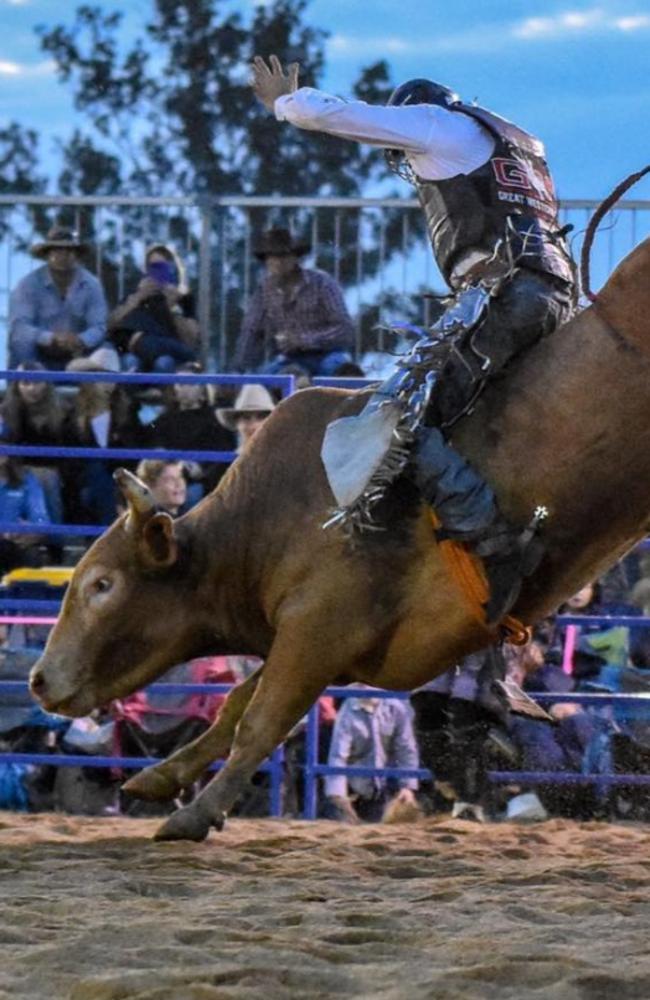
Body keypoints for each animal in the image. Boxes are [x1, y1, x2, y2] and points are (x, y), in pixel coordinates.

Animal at [31, 238, 650, 840]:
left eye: (102, 584)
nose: (38, 679)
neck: (261, 526)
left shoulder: (318, 628)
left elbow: (260, 719)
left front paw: (194, 815)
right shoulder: (326, 646)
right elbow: (236, 702)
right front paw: (158, 779)